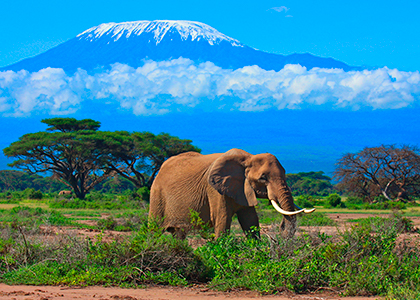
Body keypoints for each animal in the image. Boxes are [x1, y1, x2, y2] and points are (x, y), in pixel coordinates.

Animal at [149, 148, 314, 239]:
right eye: (263, 177)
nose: (280, 227)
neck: (248, 158)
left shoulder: (243, 189)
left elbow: (250, 221)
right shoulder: (214, 190)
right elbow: (222, 219)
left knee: (179, 234)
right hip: (157, 195)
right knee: (154, 230)